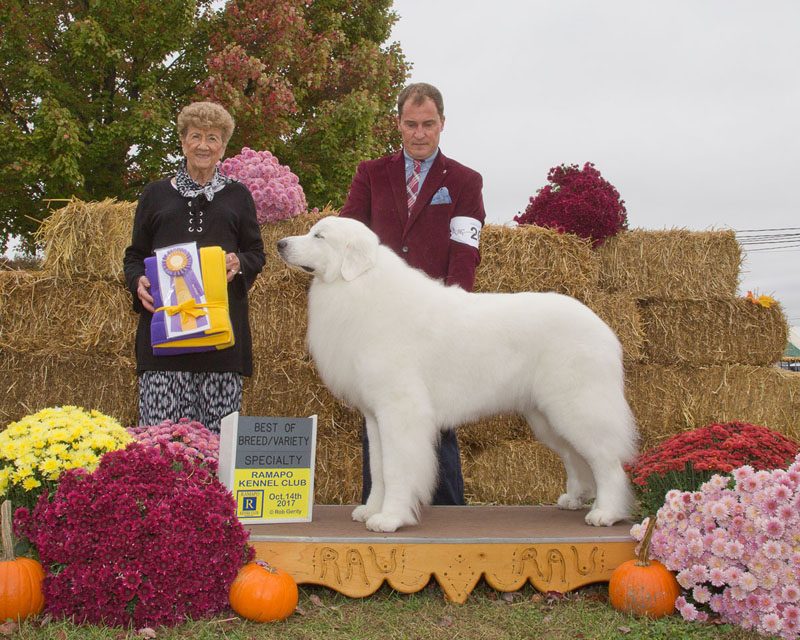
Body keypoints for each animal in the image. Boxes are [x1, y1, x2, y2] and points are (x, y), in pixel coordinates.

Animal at [276, 218, 636, 532]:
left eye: (319, 236)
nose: (280, 244)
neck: (360, 288)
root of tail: (604, 328)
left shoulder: (400, 412)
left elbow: (396, 468)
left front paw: (390, 518)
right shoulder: (376, 417)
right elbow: (378, 468)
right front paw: (371, 510)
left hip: (577, 408)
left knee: (608, 463)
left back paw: (606, 513)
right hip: (547, 418)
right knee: (576, 459)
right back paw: (574, 499)